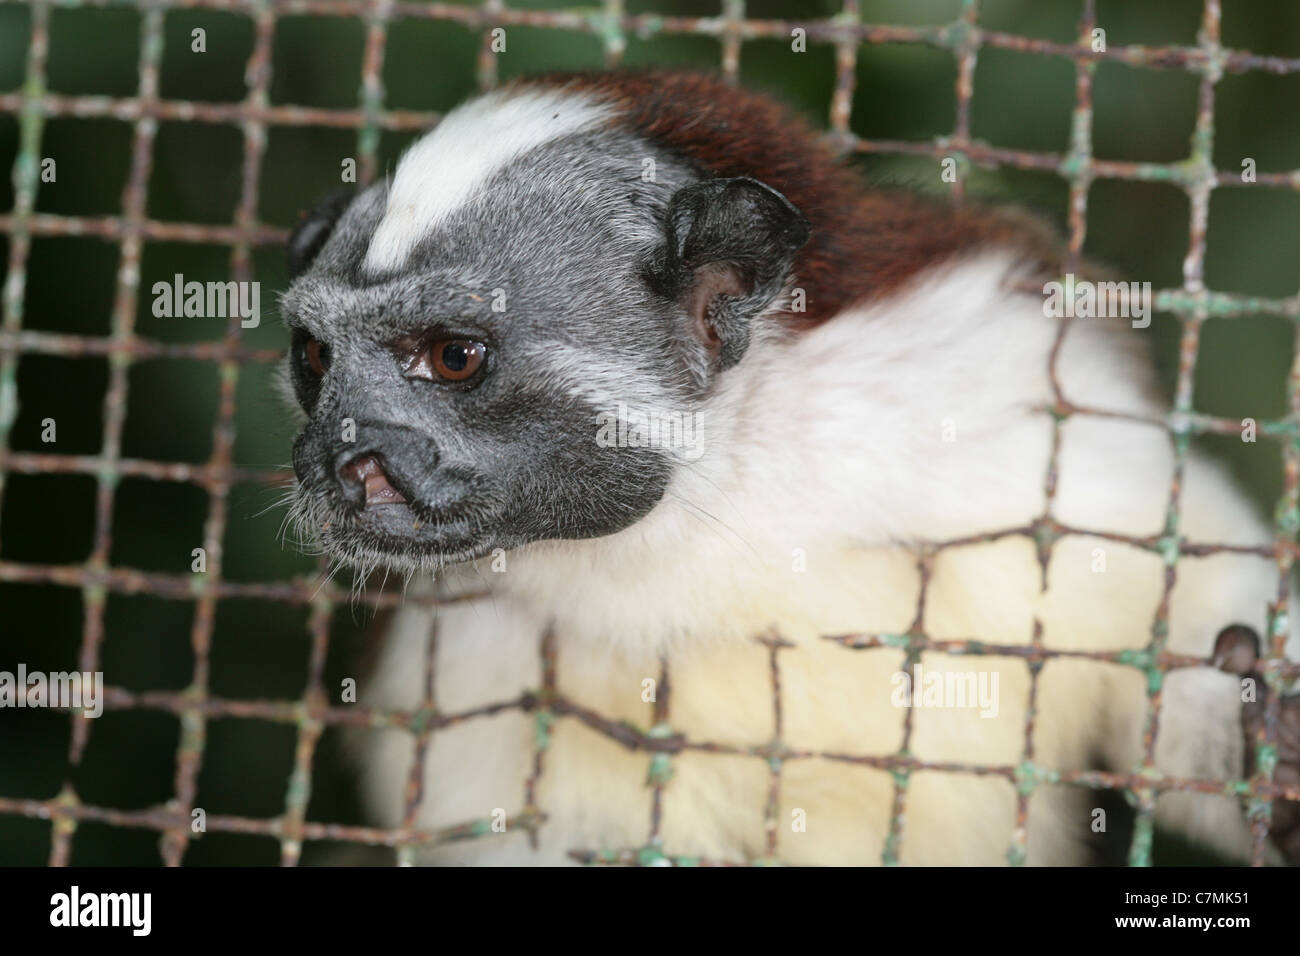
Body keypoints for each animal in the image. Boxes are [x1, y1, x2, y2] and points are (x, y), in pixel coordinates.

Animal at [279, 70, 1294, 863]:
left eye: (454, 357)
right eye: (315, 360)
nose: (339, 457)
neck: (720, 491)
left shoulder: (997, 391)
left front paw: (1267, 747)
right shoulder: (474, 651)